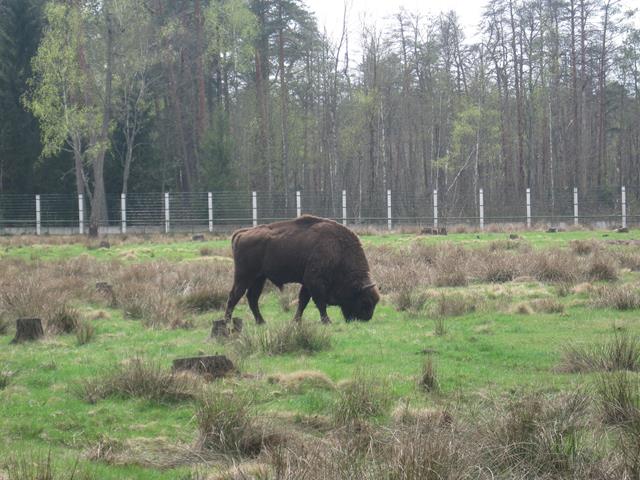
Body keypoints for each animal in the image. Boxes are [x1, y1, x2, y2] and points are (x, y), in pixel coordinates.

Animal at [219, 214, 380, 330]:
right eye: (365, 301)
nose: (366, 318)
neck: (338, 249)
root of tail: (242, 233)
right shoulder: (314, 282)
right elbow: (319, 302)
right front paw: (327, 321)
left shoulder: (307, 283)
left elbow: (303, 301)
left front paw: (296, 321)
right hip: (244, 276)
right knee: (234, 296)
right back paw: (226, 322)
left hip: (259, 278)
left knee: (252, 298)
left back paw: (261, 322)